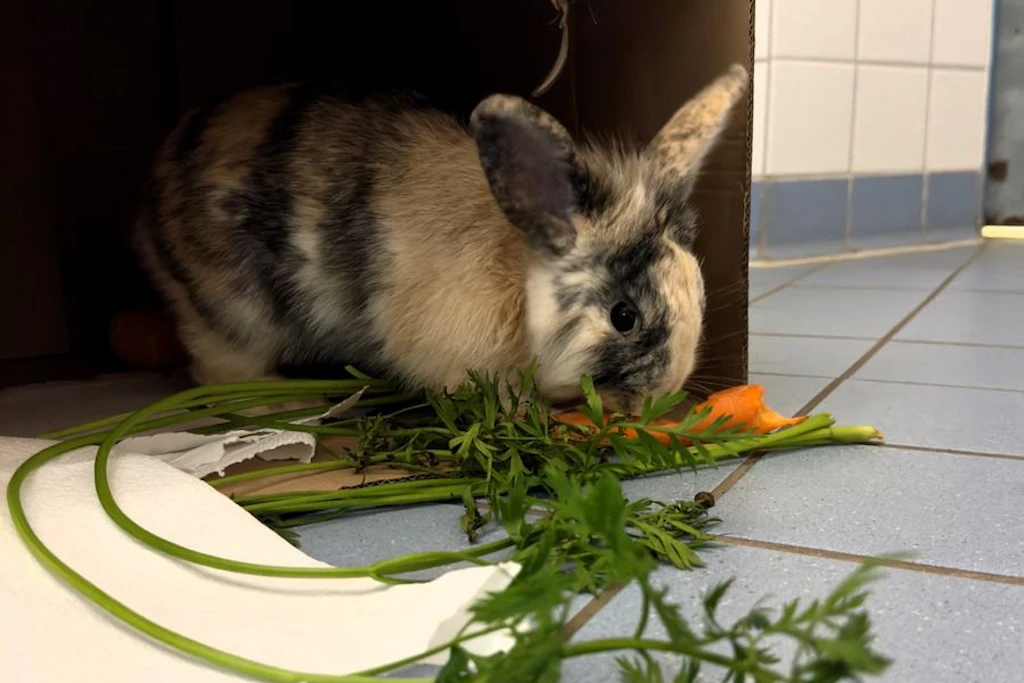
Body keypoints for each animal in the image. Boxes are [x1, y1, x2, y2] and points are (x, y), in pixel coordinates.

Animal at [133, 64, 748, 416]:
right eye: (624, 317)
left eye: (699, 292)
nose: (664, 392)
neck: (515, 277)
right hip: (232, 314)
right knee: (218, 369)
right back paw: (280, 399)